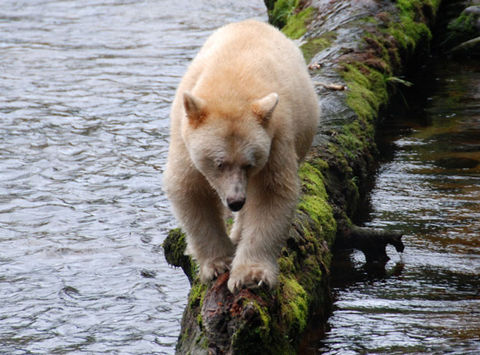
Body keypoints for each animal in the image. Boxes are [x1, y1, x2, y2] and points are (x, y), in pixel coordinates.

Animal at [164, 19, 318, 294]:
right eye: (219, 163)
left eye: (249, 164)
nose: (235, 201)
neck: (232, 83)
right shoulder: (184, 136)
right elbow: (190, 188)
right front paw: (218, 264)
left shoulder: (276, 135)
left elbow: (271, 193)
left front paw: (250, 275)